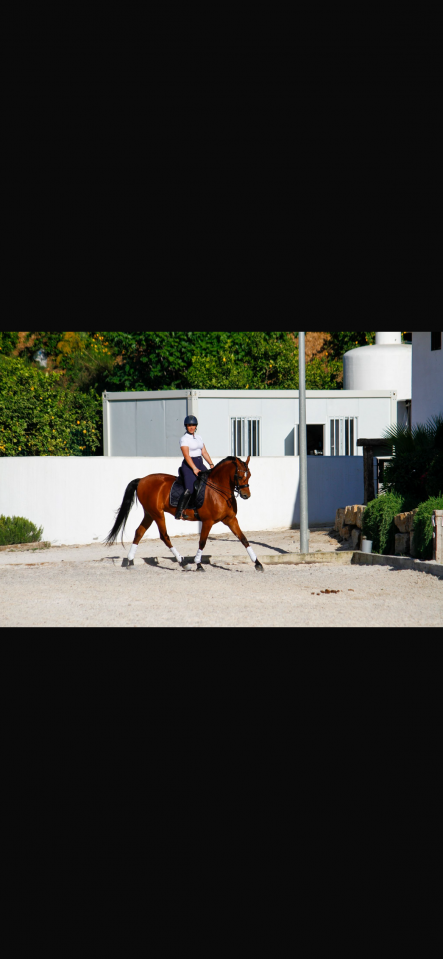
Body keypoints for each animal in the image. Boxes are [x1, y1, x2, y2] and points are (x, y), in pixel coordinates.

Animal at [105, 456, 264, 571]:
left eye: (249, 475)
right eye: (239, 475)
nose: (246, 495)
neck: (218, 490)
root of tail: (142, 480)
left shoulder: (230, 519)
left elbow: (243, 539)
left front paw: (258, 563)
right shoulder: (207, 521)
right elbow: (202, 541)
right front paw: (198, 564)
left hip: (149, 514)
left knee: (139, 532)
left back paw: (130, 561)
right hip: (157, 514)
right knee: (164, 536)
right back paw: (183, 562)